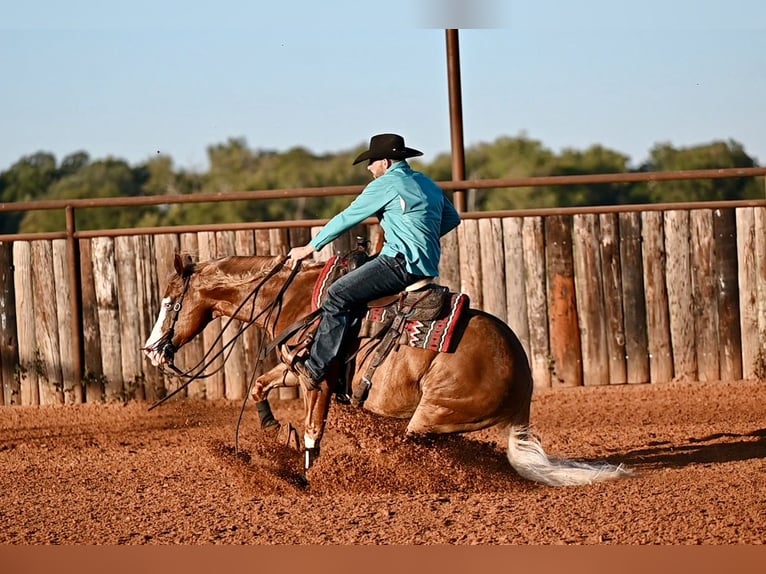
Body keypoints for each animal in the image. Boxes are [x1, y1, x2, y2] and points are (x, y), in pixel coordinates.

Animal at [143, 252, 631, 487]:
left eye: (169, 302)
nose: (151, 351)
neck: (295, 297)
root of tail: (524, 381)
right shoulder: (297, 368)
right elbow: (261, 386)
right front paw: (270, 427)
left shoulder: (316, 380)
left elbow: (312, 432)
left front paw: (304, 476)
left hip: (433, 417)